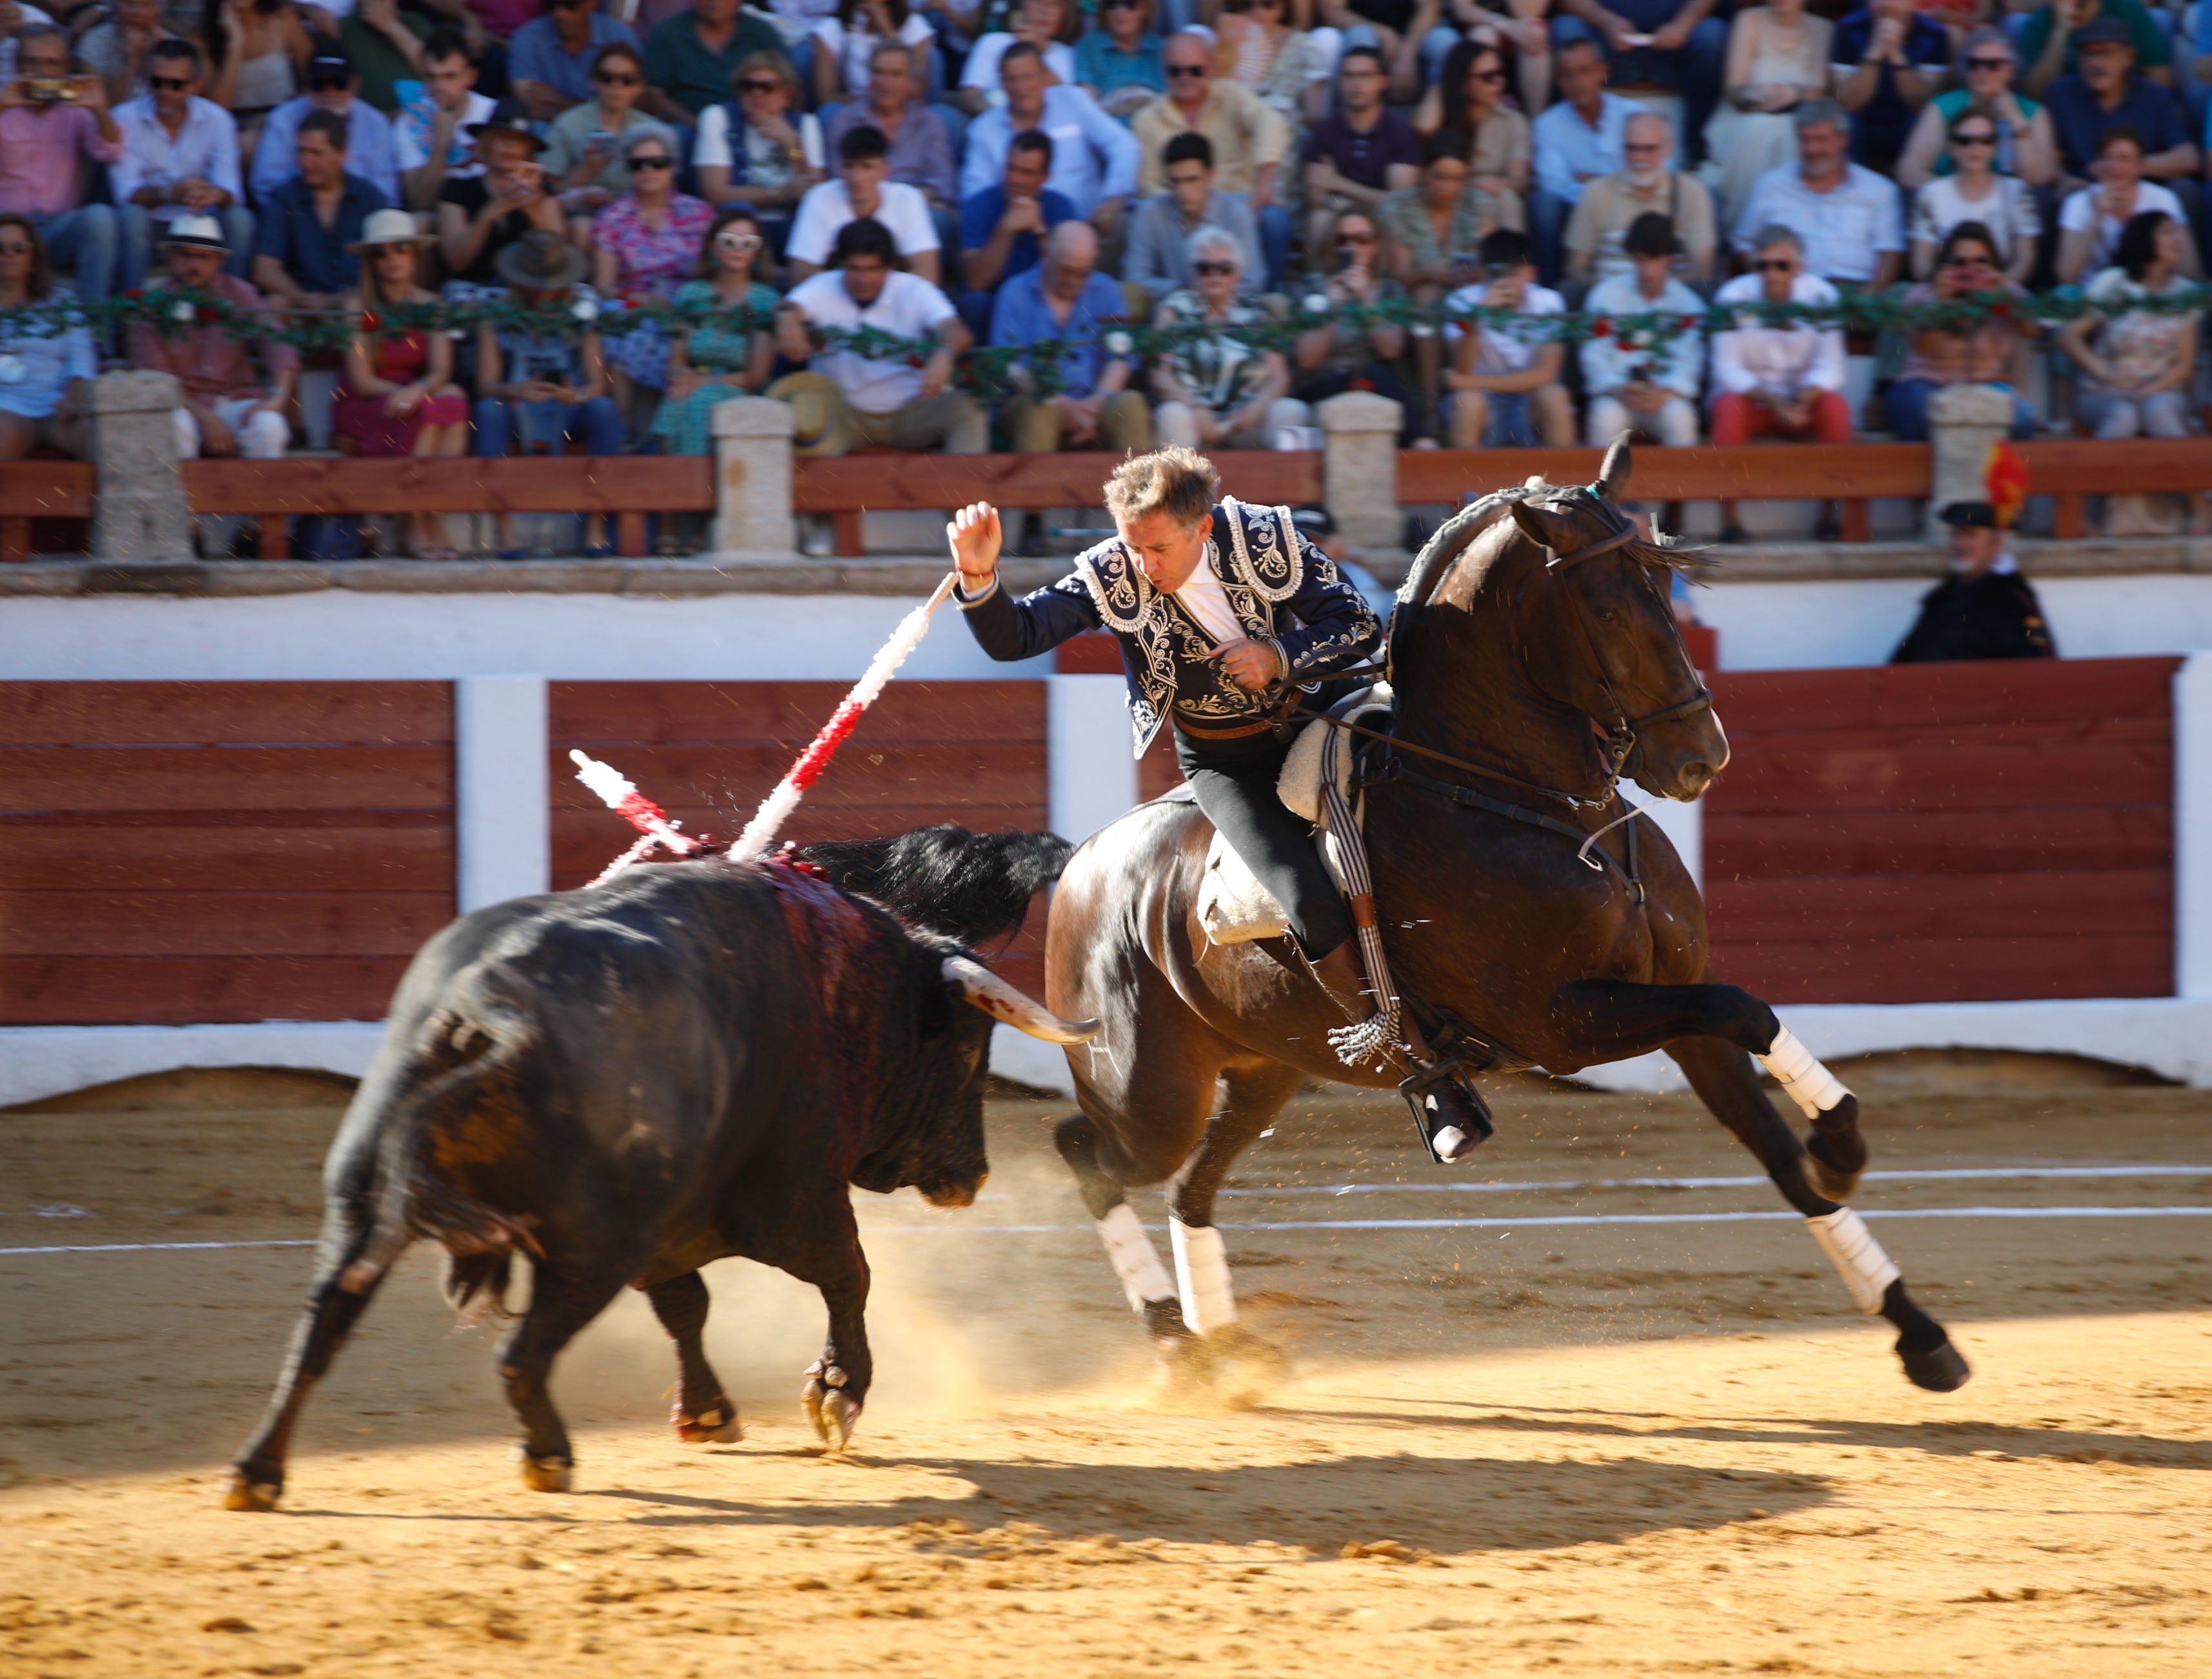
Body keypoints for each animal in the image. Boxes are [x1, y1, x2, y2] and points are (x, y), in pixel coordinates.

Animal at [224, 827, 1088, 1513]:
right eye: (969, 1050)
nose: (973, 1176)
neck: (850, 981)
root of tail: (483, 1003)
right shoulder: (796, 1198)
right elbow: (848, 1276)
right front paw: (837, 1394)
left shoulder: (673, 1226)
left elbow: (686, 1306)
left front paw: (707, 1412)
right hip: (591, 1245)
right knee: (518, 1355)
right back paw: (548, 1456)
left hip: (361, 1206)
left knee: (320, 1329)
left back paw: (257, 1473)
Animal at [1048, 442, 1973, 1389]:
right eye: (1606, 608)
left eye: (1664, 585)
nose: (1699, 758)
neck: (1536, 803)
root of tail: (1078, 861)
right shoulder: (1560, 1024)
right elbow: (1744, 1009)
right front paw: (1842, 1149)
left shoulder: (1676, 1001)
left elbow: (1778, 1134)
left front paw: (1914, 1324)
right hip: (1150, 1091)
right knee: (1089, 1153)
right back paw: (1176, 1343)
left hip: (1266, 1065)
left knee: (1189, 1187)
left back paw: (1225, 1350)